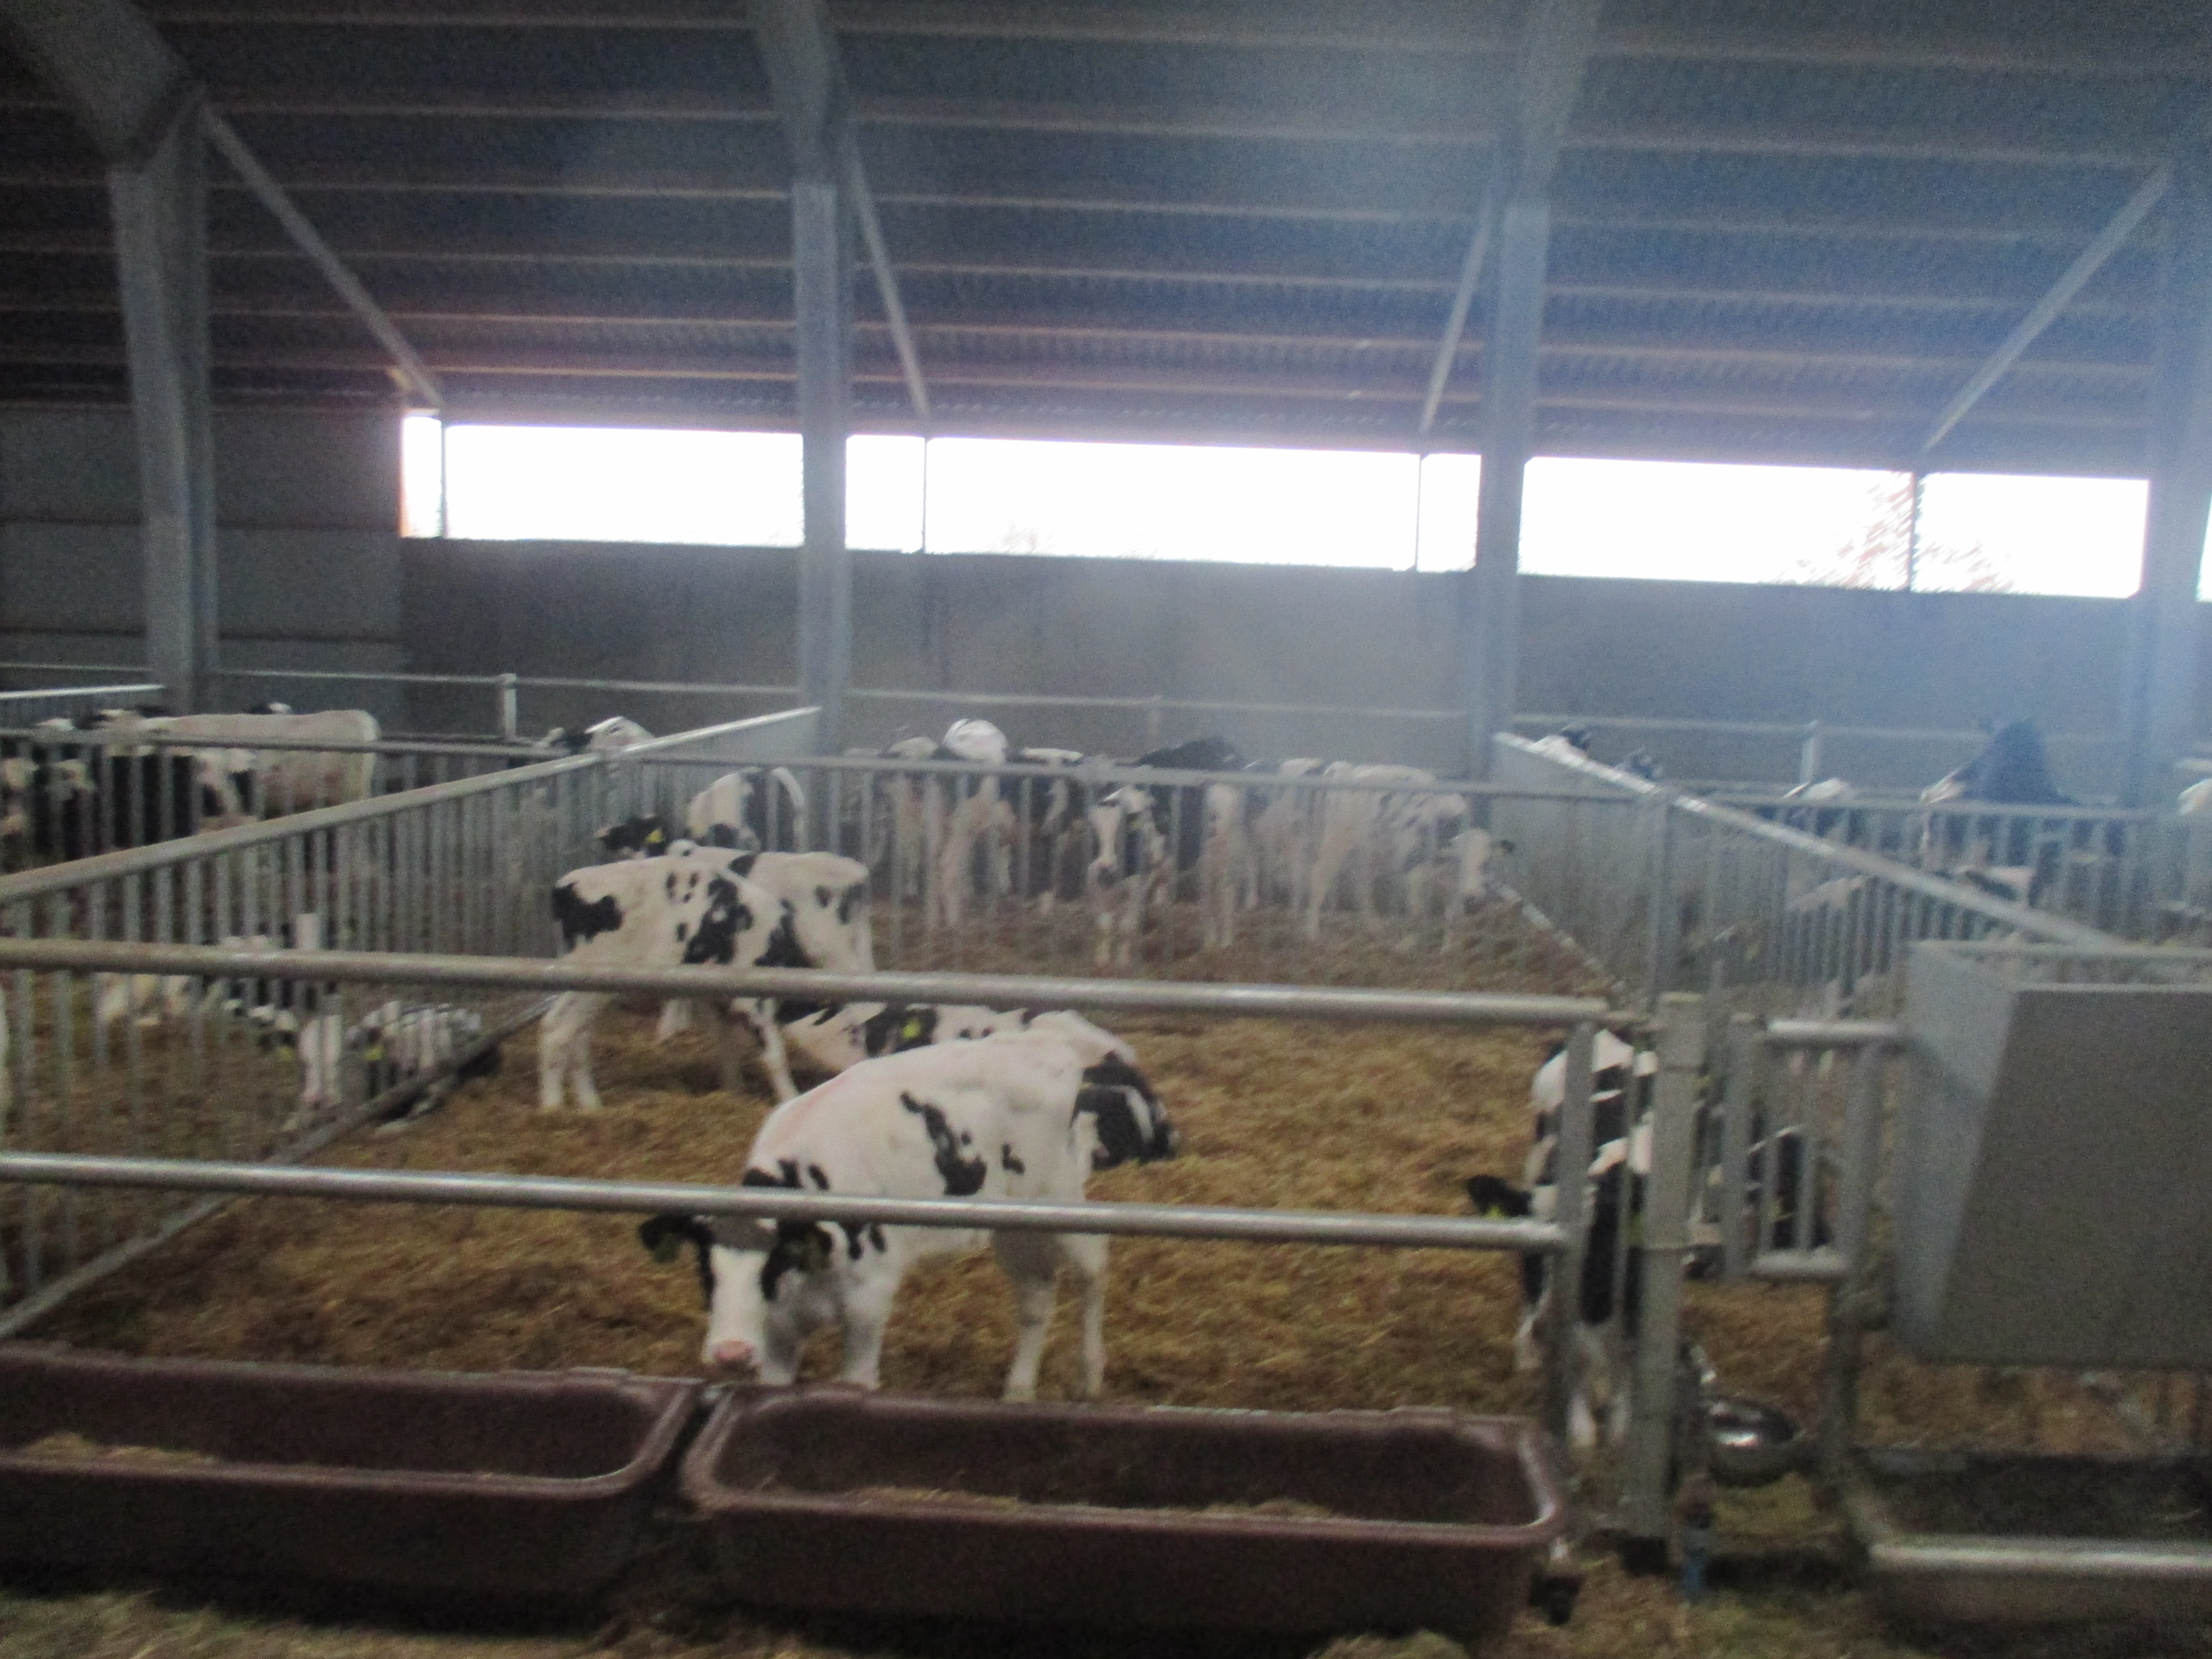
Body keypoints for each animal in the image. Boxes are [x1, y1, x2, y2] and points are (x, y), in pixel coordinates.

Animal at [636, 1014, 1176, 1398]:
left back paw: (1090, 1378)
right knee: (1036, 1294)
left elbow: (855, 1383)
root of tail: (1044, 1044)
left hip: (1059, 1197)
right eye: (705, 1269)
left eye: (773, 1262)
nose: (730, 1353)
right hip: (1013, 1222)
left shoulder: (868, 1300)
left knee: (1091, 1268)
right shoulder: (778, 1330)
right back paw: (1018, 1390)